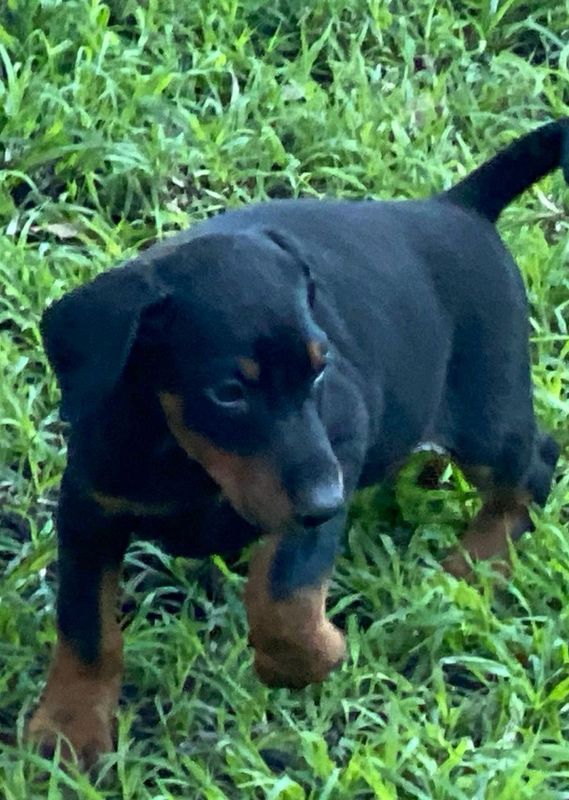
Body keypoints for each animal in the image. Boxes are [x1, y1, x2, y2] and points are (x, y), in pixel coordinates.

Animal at [27, 119, 568, 764]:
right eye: (229, 392)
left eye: (320, 367)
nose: (326, 503)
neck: (184, 455)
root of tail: (459, 207)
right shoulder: (91, 509)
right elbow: (86, 626)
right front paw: (68, 727)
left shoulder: (336, 451)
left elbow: (283, 590)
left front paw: (310, 656)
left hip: (487, 415)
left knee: (535, 465)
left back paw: (473, 567)